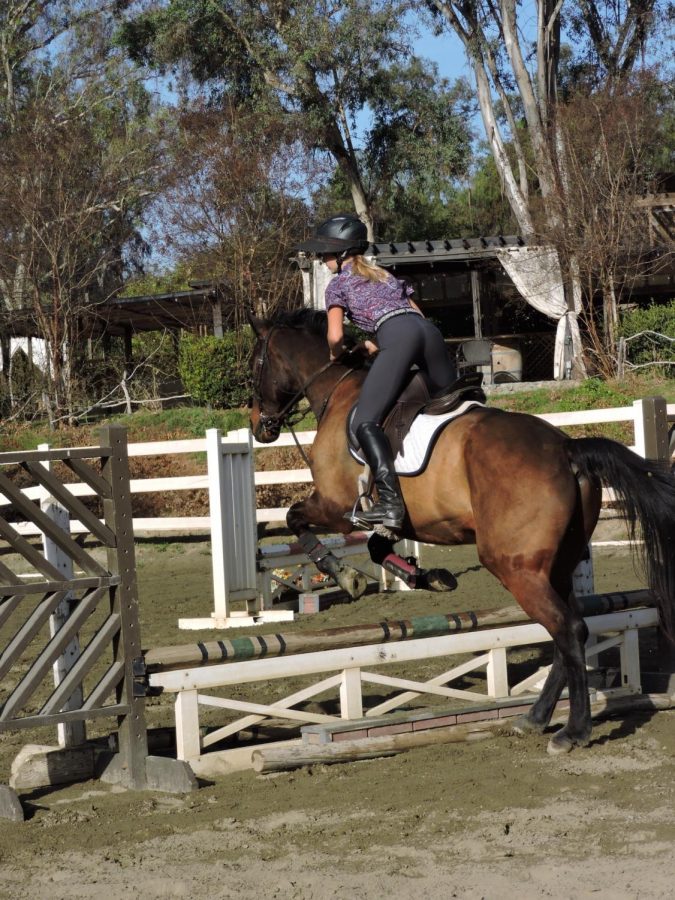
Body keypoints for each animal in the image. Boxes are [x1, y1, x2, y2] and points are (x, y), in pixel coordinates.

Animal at [250, 310, 675, 752]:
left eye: (253, 365)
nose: (259, 426)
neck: (337, 389)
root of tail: (566, 448)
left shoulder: (334, 506)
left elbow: (298, 521)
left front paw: (345, 575)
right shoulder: (388, 518)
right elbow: (376, 547)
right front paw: (426, 576)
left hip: (513, 566)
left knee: (569, 629)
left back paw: (572, 731)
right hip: (556, 564)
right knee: (568, 631)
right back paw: (535, 717)